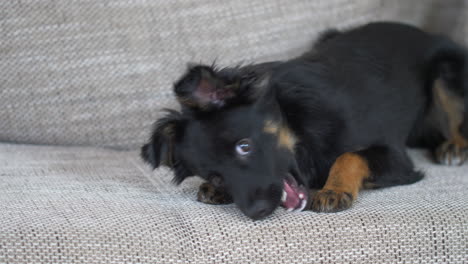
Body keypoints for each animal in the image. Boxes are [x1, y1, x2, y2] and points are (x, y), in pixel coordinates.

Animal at [142, 21, 468, 220]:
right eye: (215, 175)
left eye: (244, 146)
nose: (259, 212)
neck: (297, 122)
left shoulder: (396, 157)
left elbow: (350, 155)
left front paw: (334, 188)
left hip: (447, 71)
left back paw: (455, 146)